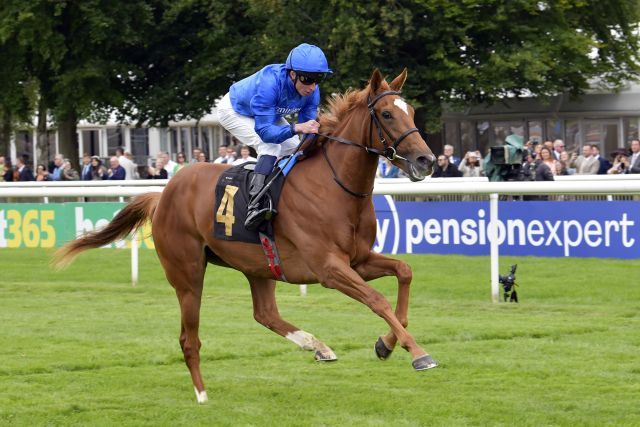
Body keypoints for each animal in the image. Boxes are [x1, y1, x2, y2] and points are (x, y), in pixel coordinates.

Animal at [55, 68, 438, 402]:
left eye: (410, 112)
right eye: (387, 114)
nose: (427, 160)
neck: (334, 187)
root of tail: (163, 195)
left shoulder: (357, 260)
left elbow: (404, 272)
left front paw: (385, 344)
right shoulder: (329, 268)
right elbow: (377, 300)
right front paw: (418, 353)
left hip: (259, 265)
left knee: (264, 314)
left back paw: (318, 346)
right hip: (188, 273)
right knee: (189, 338)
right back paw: (202, 395)